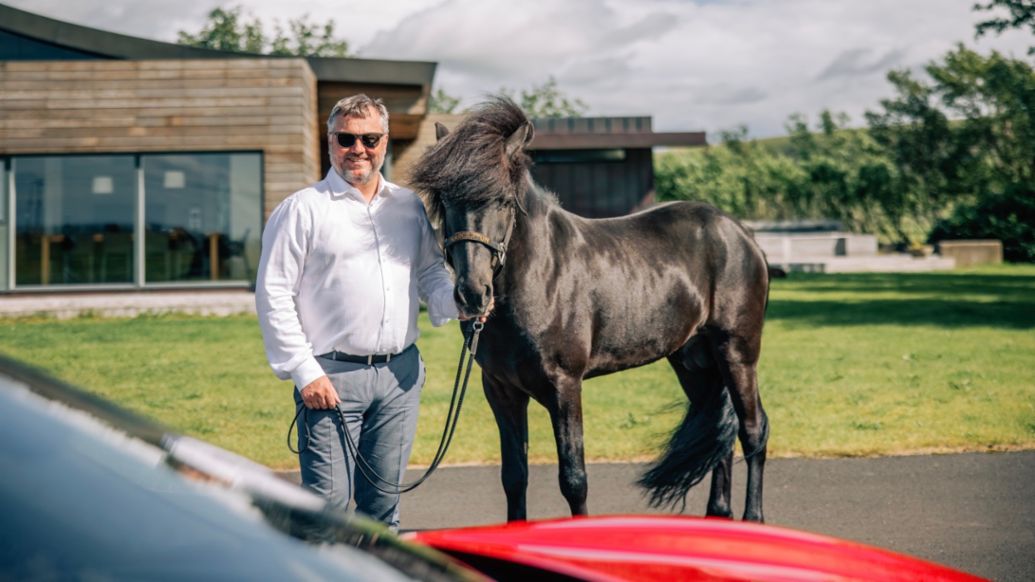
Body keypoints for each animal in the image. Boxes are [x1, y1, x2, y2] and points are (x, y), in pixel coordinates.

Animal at [407, 98, 774, 521]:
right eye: (445, 201)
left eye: (502, 200)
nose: (472, 293)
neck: (540, 274)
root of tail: (740, 233)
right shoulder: (501, 390)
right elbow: (514, 476)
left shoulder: (564, 386)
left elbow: (574, 479)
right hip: (694, 361)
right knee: (718, 431)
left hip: (736, 353)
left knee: (753, 430)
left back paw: (753, 519)